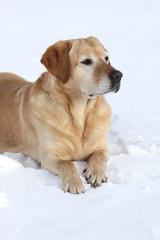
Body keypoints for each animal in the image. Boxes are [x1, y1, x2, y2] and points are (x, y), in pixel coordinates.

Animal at [0, 37, 122, 193]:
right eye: (86, 61)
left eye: (106, 58)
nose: (118, 75)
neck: (79, 114)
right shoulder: (49, 156)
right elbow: (67, 164)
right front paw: (74, 183)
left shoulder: (101, 147)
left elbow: (99, 156)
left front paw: (95, 173)